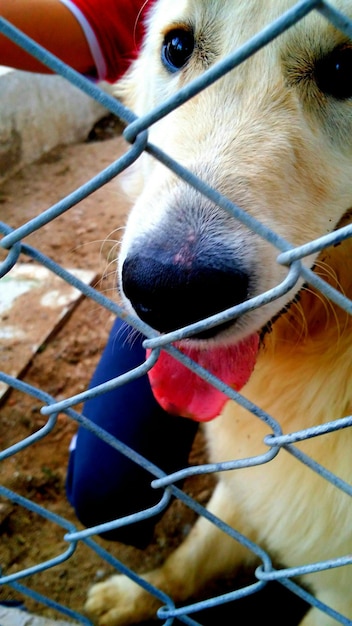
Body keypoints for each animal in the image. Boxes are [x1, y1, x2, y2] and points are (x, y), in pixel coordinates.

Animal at [85, 2, 352, 620]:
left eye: (347, 67)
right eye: (178, 48)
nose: (171, 293)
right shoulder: (250, 483)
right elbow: (191, 556)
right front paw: (137, 596)